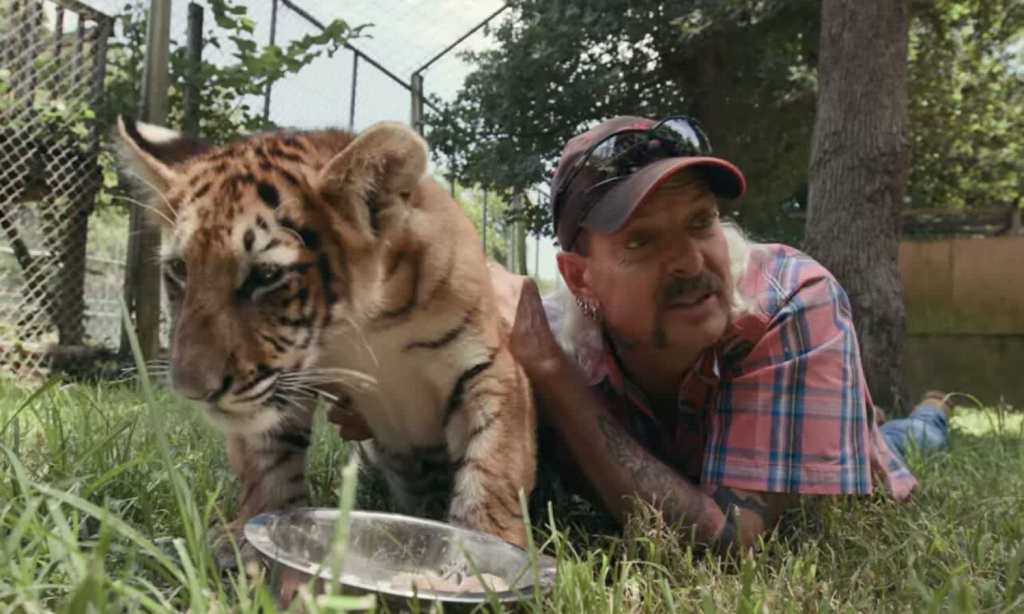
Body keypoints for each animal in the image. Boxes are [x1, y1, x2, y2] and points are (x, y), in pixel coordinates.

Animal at [115, 117, 537, 554]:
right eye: (180, 269)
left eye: (266, 275)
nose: (192, 390)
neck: (362, 327)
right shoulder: (284, 382)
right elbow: (267, 461)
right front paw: (252, 537)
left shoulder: (491, 368)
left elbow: (493, 463)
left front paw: (486, 551)